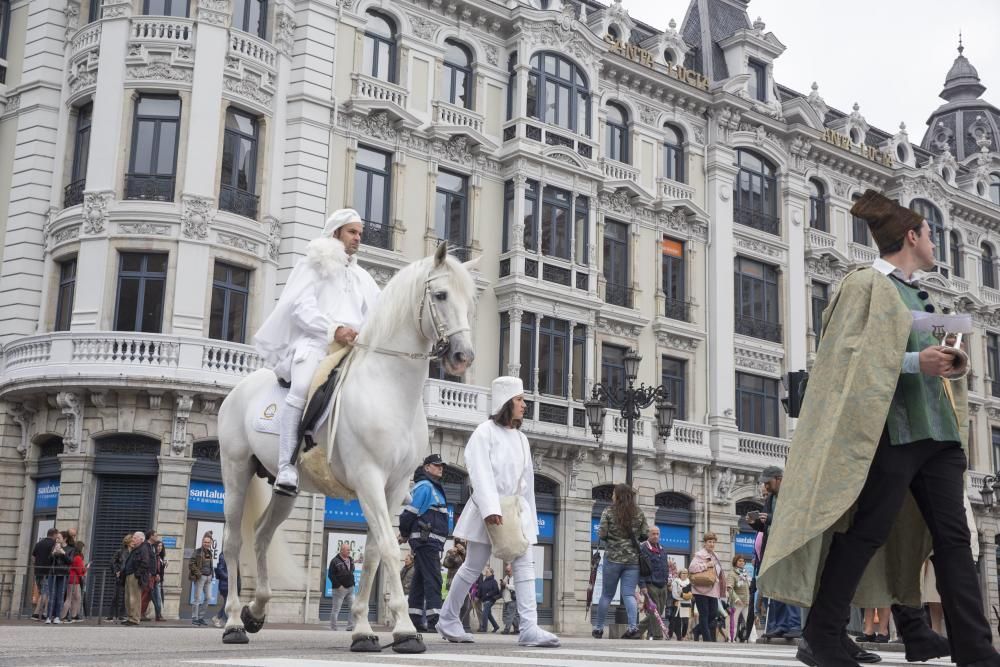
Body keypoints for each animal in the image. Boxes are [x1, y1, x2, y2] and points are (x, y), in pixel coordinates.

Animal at [218, 244, 480, 652]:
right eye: (440, 295)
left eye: (469, 301)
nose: (462, 357)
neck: (389, 387)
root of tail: (239, 390)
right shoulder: (368, 479)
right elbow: (388, 548)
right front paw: (405, 629)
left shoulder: (395, 487)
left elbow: (371, 554)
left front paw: (362, 628)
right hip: (236, 473)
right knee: (232, 542)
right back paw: (233, 622)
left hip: (283, 488)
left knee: (260, 535)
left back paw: (256, 611)